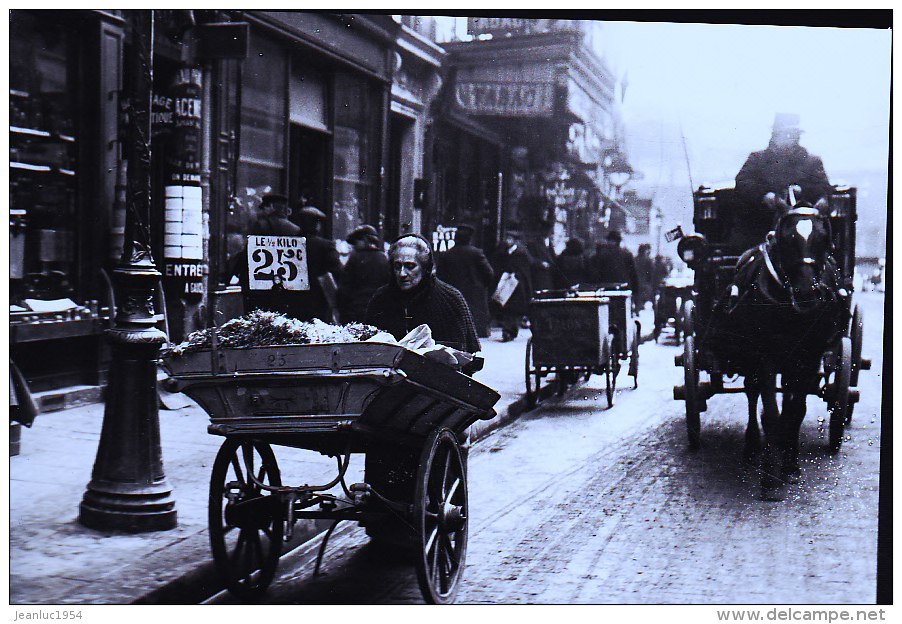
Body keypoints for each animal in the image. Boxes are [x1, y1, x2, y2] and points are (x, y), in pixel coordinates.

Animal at [708, 207, 852, 500]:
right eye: (786, 240)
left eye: (824, 239)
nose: (806, 291)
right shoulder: (765, 357)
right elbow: (771, 414)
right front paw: (770, 478)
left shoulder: (809, 357)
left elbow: (796, 411)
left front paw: (791, 465)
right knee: (753, 394)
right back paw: (752, 445)